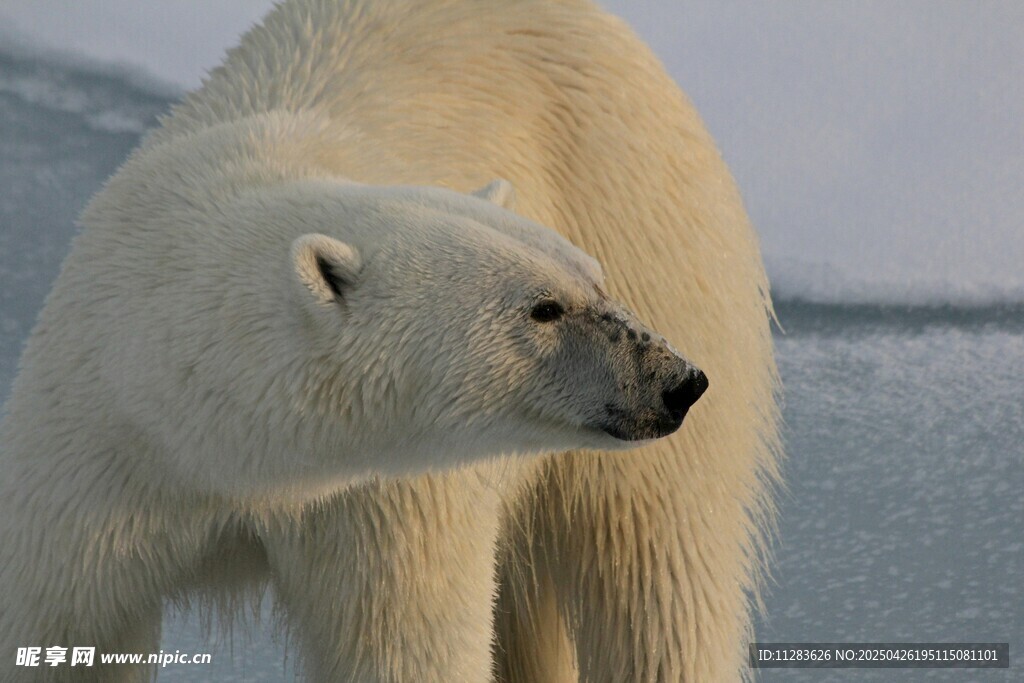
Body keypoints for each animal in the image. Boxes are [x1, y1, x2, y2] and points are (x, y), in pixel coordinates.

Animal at [1, 0, 780, 682]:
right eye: (545, 308)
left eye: (592, 277)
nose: (675, 380)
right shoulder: (95, 463)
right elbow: (65, 629)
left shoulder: (383, 502)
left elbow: (405, 646)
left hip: (649, 213)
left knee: (658, 575)